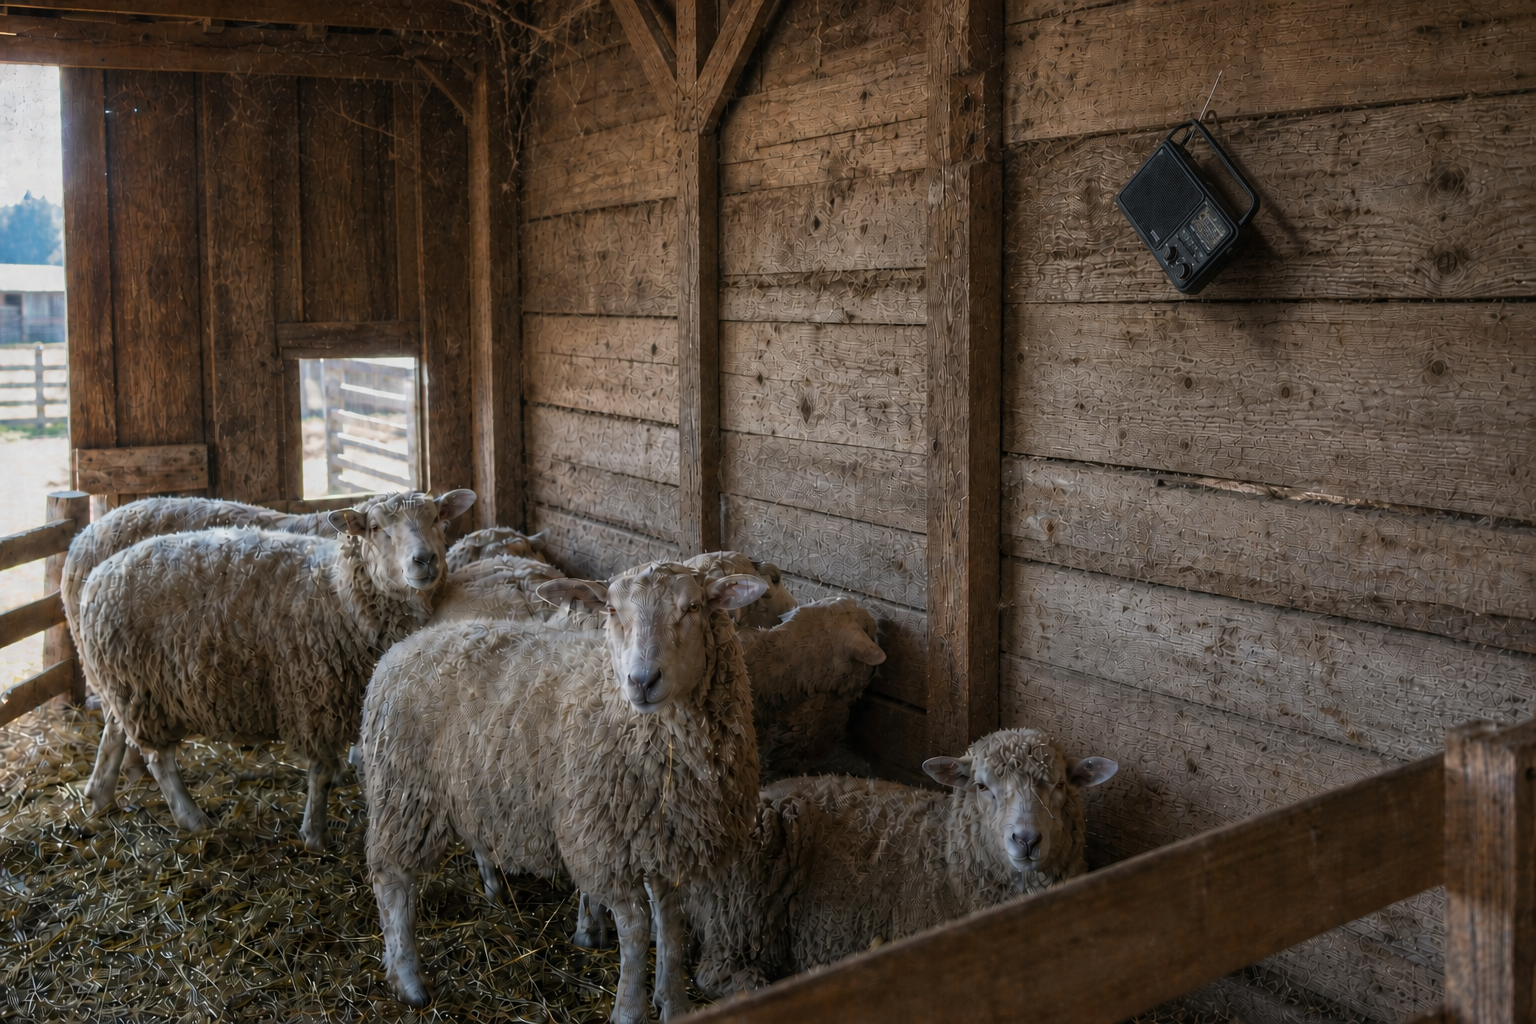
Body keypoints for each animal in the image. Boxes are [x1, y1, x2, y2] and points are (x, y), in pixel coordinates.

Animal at [78, 489, 476, 852]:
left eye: (437, 519)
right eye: (376, 528)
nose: (424, 560)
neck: (339, 593)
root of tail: (97, 576)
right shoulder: (314, 697)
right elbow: (322, 771)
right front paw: (315, 836)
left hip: (125, 686)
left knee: (114, 731)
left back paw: (99, 796)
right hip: (141, 690)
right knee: (159, 759)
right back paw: (192, 819)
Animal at [359, 562, 767, 1022]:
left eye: (693, 607)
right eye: (611, 609)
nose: (642, 681)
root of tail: (405, 646)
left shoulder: (669, 843)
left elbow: (672, 925)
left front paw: (674, 1003)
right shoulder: (601, 846)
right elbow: (636, 928)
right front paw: (630, 1009)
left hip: (468, 787)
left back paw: (491, 892)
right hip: (403, 791)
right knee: (391, 880)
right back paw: (407, 979)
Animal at [687, 727, 1117, 995]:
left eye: (1059, 784)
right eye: (982, 786)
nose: (1026, 839)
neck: (947, 859)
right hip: (741, 914)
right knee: (716, 973)